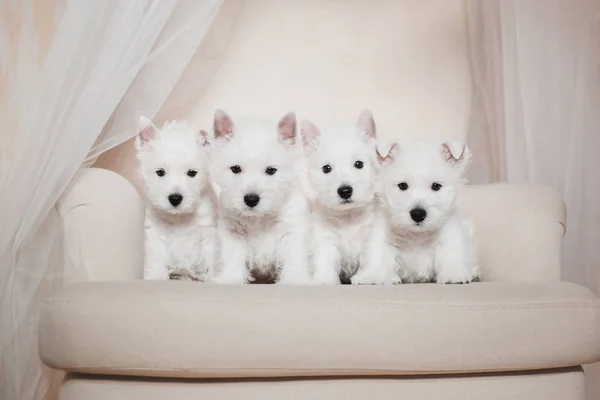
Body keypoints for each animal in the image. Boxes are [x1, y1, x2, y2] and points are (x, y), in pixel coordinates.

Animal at [136, 117, 218, 282]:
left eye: (192, 172)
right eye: (160, 172)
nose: (175, 198)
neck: (180, 216)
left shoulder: (208, 235)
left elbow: (211, 263)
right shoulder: (156, 237)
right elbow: (156, 263)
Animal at [207, 109, 310, 284]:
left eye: (271, 170)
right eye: (235, 168)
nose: (251, 200)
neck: (259, 217)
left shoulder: (291, 229)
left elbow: (293, 256)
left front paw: (294, 279)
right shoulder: (232, 230)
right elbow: (233, 256)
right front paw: (230, 278)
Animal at [302, 109, 400, 284]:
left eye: (358, 164)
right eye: (326, 168)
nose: (345, 191)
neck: (349, 215)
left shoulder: (373, 233)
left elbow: (373, 256)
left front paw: (369, 276)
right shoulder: (325, 237)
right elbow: (325, 259)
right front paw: (324, 280)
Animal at [380, 141, 478, 284]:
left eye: (436, 186)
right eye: (402, 185)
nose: (417, 214)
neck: (417, 234)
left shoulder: (450, 235)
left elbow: (451, 254)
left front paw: (454, 275)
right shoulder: (385, 238)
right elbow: (380, 256)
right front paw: (374, 277)